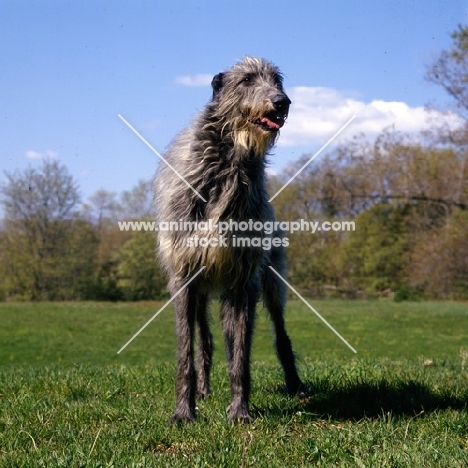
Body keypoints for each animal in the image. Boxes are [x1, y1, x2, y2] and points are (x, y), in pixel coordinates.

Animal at [154, 56, 308, 422]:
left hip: (270, 279)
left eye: (277, 81)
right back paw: (202, 390)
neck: (228, 165)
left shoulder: (243, 280)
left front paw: (240, 410)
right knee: (207, 340)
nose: (282, 102)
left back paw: (295, 385)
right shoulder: (184, 276)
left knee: (277, 333)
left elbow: (240, 353)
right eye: (247, 80)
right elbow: (186, 351)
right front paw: (184, 412)